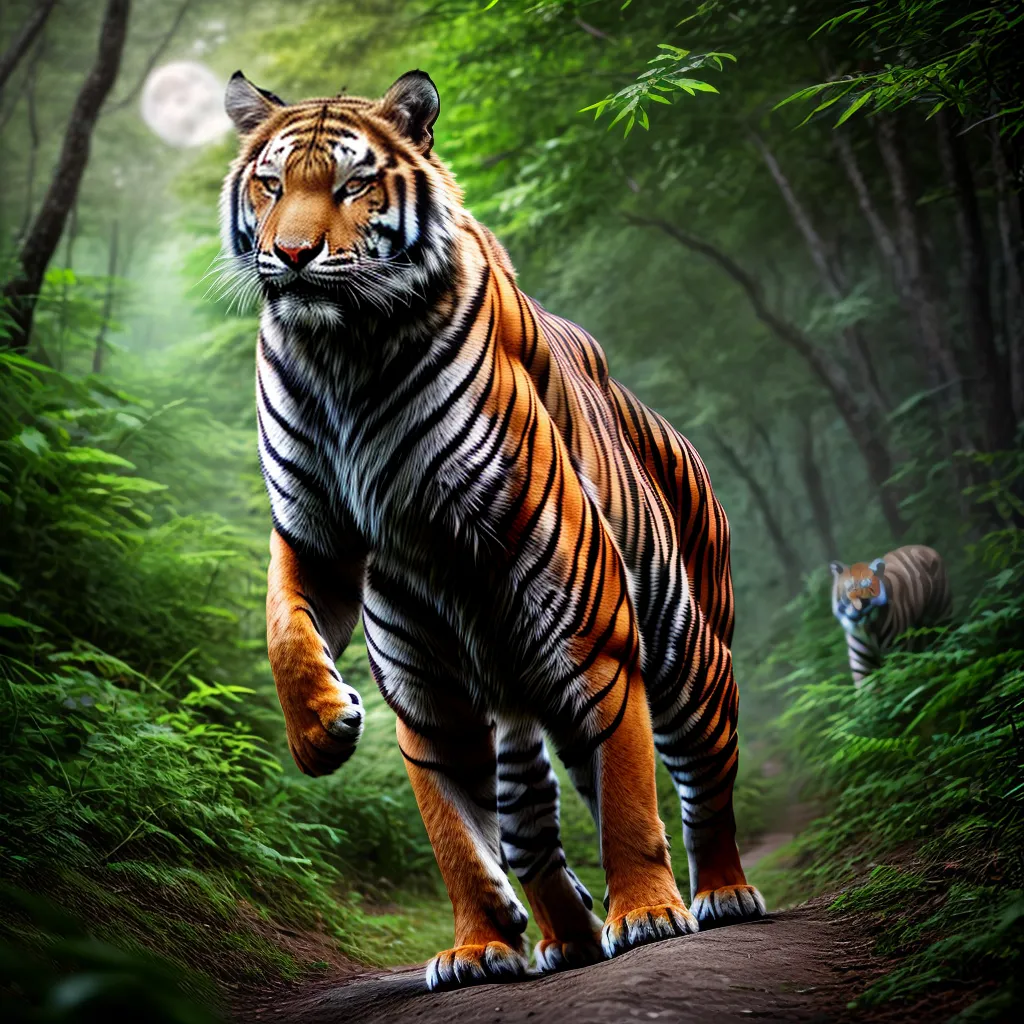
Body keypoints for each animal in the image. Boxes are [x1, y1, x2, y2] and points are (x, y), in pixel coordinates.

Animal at [220, 68, 766, 990]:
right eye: (270, 184)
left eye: (352, 185)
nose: (291, 255)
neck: (344, 357)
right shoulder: (330, 559)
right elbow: (448, 824)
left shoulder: (593, 633)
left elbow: (629, 796)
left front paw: (648, 915)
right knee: (530, 822)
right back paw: (564, 935)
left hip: (684, 653)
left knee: (703, 777)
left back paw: (720, 893)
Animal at [830, 545, 952, 686]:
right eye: (850, 589)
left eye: (868, 588)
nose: (860, 607)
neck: (867, 630)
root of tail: (925, 547)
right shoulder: (862, 669)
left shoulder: (898, 656)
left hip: (943, 618)